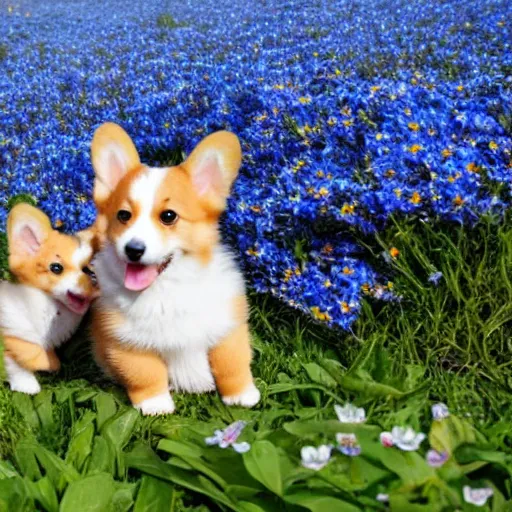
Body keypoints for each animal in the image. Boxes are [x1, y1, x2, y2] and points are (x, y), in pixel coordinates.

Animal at [0, 202, 97, 394]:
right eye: (56, 268)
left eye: (89, 270)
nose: (90, 283)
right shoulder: (12, 329)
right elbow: (18, 358)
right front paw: (27, 385)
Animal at [88, 123, 262, 416]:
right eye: (123, 216)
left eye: (168, 216)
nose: (133, 250)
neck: (165, 289)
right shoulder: (126, 343)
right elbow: (145, 374)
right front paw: (156, 405)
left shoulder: (228, 327)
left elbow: (232, 363)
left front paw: (242, 396)